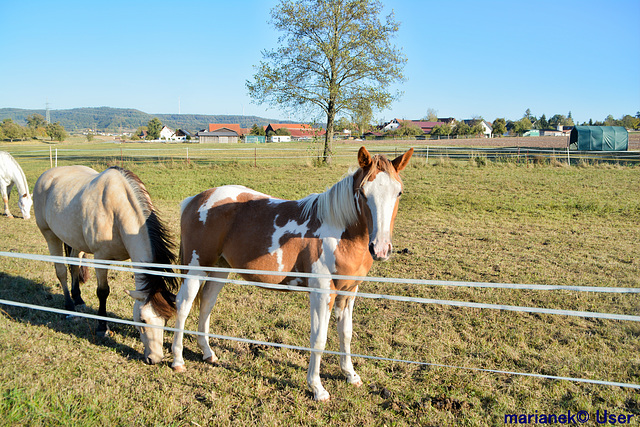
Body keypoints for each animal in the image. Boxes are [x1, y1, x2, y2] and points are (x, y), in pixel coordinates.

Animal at [32, 166, 178, 362]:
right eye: (143, 320)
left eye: (165, 320)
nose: (154, 358)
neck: (116, 210)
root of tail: (47, 174)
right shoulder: (101, 258)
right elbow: (103, 292)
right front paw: (102, 327)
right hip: (50, 235)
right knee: (61, 271)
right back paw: (69, 306)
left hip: (75, 240)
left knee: (74, 266)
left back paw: (78, 299)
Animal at [172, 146, 412, 402]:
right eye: (363, 192)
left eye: (398, 192)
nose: (380, 249)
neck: (340, 232)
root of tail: (195, 200)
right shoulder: (321, 293)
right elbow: (319, 339)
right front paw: (317, 388)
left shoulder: (348, 292)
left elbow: (345, 334)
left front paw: (351, 375)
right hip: (196, 268)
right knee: (184, 305)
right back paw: (178, 360)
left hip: (220, 269)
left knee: (206, 304)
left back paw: (208, 353)